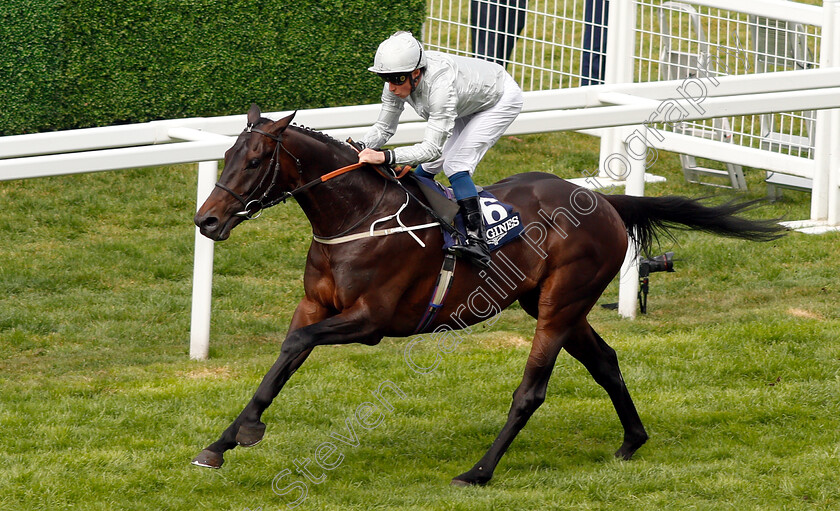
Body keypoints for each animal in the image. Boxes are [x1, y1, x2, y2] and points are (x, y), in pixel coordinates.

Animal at [194, 105, 784, 488]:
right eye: (226, 155)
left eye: (253, 162)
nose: (207, 221)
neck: (355, 218)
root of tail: (603, 201)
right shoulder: (316, 305)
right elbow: (283, 359)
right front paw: (222, 443)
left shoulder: (371, 320)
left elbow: (298, 345)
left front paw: (244, 433)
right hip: (555, 304)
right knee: (606, 362)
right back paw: (632, 440)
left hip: (560, 305)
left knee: (532, 391)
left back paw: (479, 472)